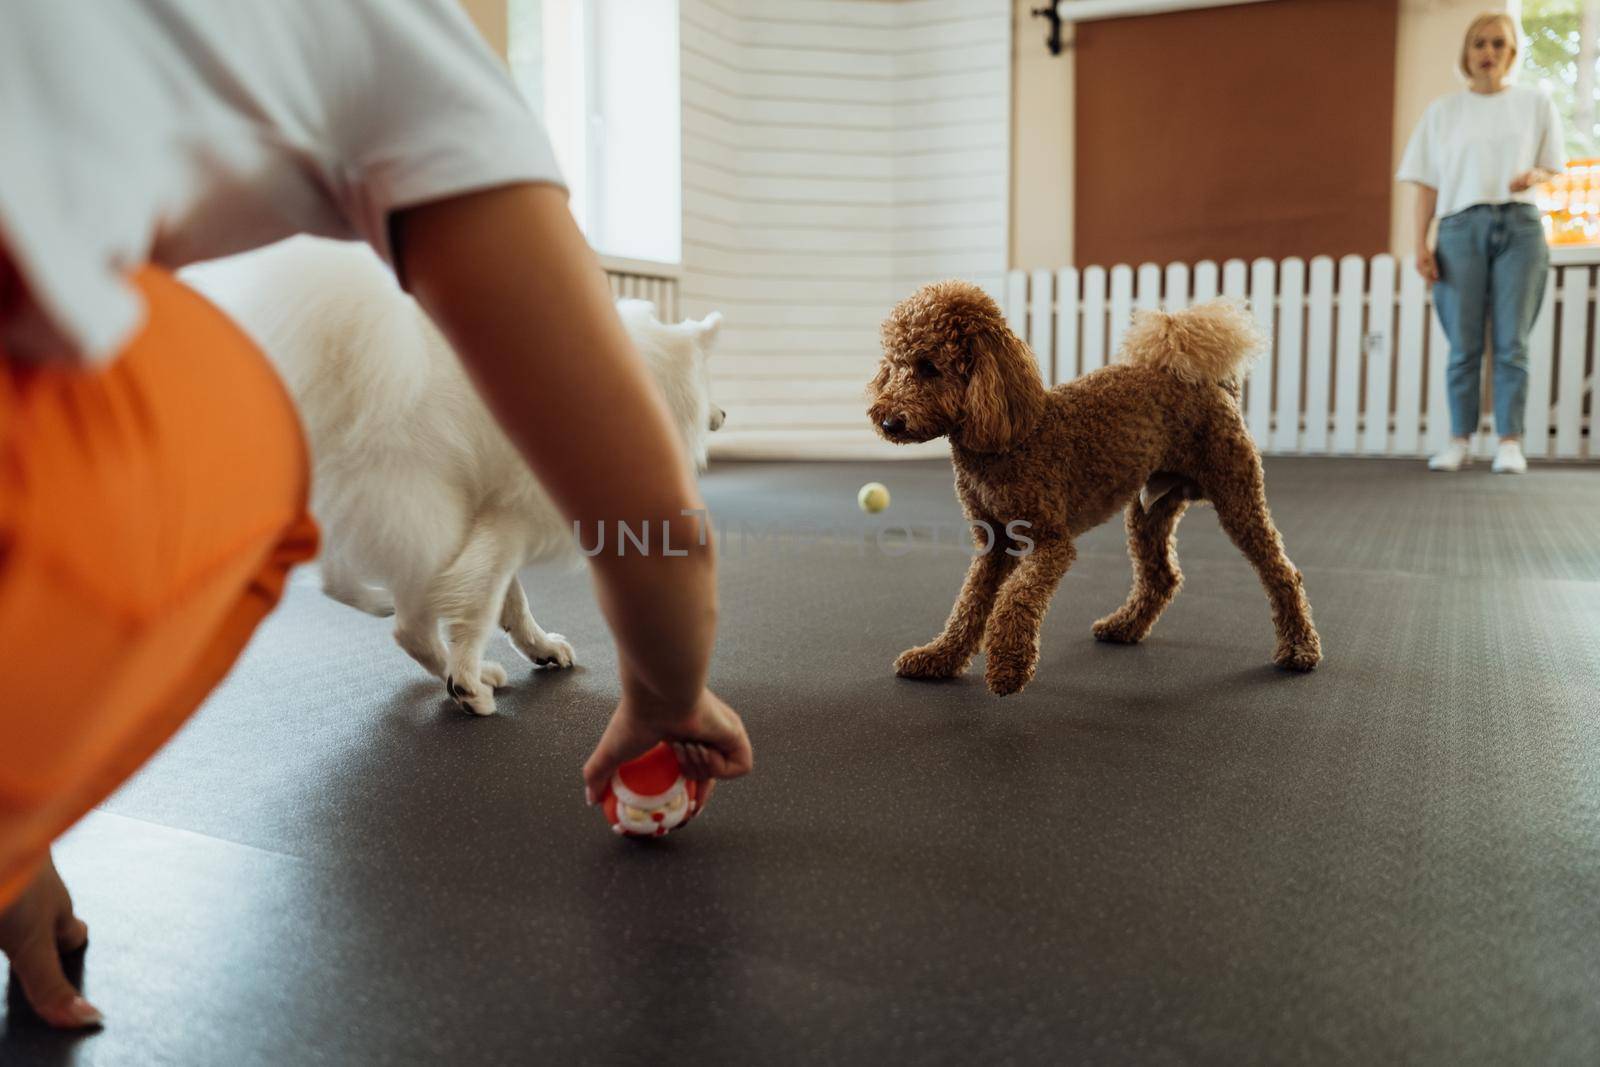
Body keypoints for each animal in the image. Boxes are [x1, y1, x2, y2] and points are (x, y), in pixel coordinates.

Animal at [181, 238, 726, 713]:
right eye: (707, 384)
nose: (724, 415)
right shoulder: (511, 516)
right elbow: (481, 600)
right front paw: (465, 679)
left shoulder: (492, 513)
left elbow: (510, 601)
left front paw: (539, 647)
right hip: (428, 515)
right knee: (409, 625)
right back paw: (472, 680)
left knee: (342, 585)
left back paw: (384, 607)